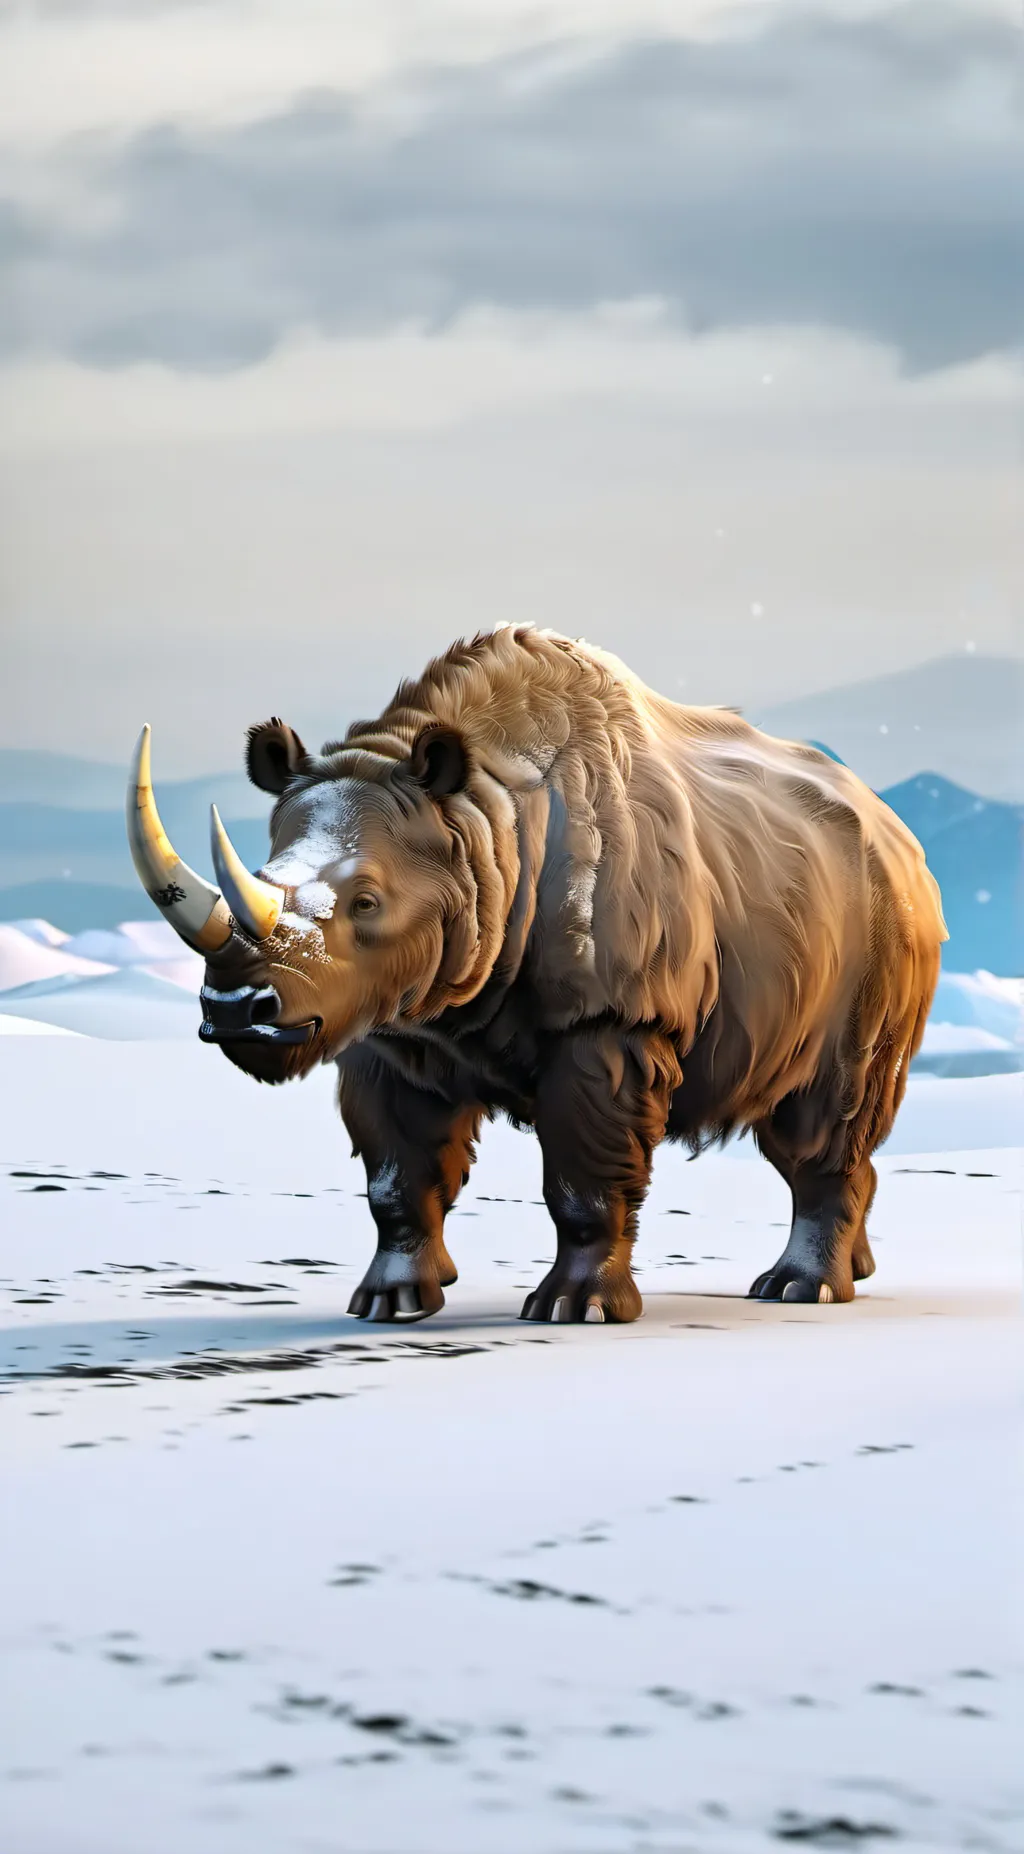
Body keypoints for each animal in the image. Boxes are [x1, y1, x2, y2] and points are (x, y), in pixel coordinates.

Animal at [127, 627, 946, 1324]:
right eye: (261, 875)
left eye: (366, 903)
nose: (236, 1007)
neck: (477, 821)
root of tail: (899, 833)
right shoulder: (389, 1024)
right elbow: (396, 1174)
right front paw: (390, 1304)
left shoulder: (609, 1020)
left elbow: (584, 1180)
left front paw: (575, 1310)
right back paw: (848, 1273)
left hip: (884, 921)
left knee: (824, 1110)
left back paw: (799, 1291)